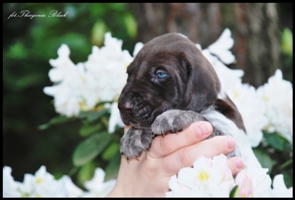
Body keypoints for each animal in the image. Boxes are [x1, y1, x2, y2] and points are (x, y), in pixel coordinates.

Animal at [117, 33, 262, 168]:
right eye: (129, 74)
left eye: (161, 74)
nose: (123, 106)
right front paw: (133, 135)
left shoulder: (231, 147)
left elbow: (202, 118)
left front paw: (174, 115)